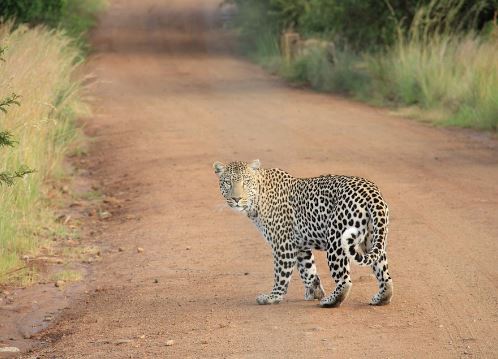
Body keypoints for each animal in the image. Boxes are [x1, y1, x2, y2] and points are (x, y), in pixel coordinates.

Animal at [213, 161, 392, 310]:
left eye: (246, 182)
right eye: (227, 182)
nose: (236, 198)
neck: (257, 199)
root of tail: (372, 191)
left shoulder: (283, 244)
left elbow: (281, 274)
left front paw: (273, 297)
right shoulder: (300, 245)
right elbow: (308, 270)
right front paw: (314, 292)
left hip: (337, 240)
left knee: (345, 280)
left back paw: (330, 301)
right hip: (372, 239)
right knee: (384, 274)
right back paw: (381, 298)